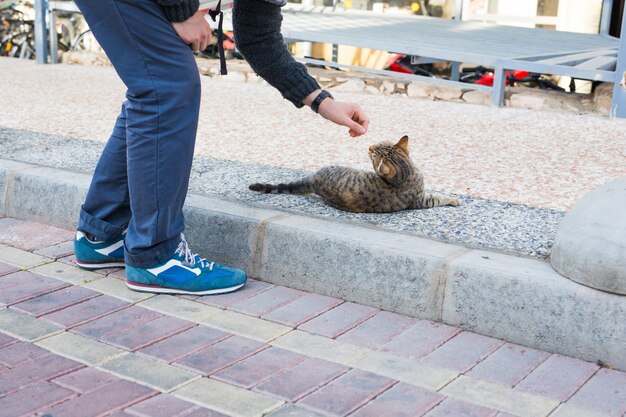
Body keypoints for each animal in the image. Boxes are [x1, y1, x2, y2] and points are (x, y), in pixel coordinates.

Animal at [249, 136, 458, 213]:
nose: (370, 146)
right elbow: (438, 197)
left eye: (374, 152)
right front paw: (453, 199)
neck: (408, 174)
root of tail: (315, 179)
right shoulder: (421, 200)